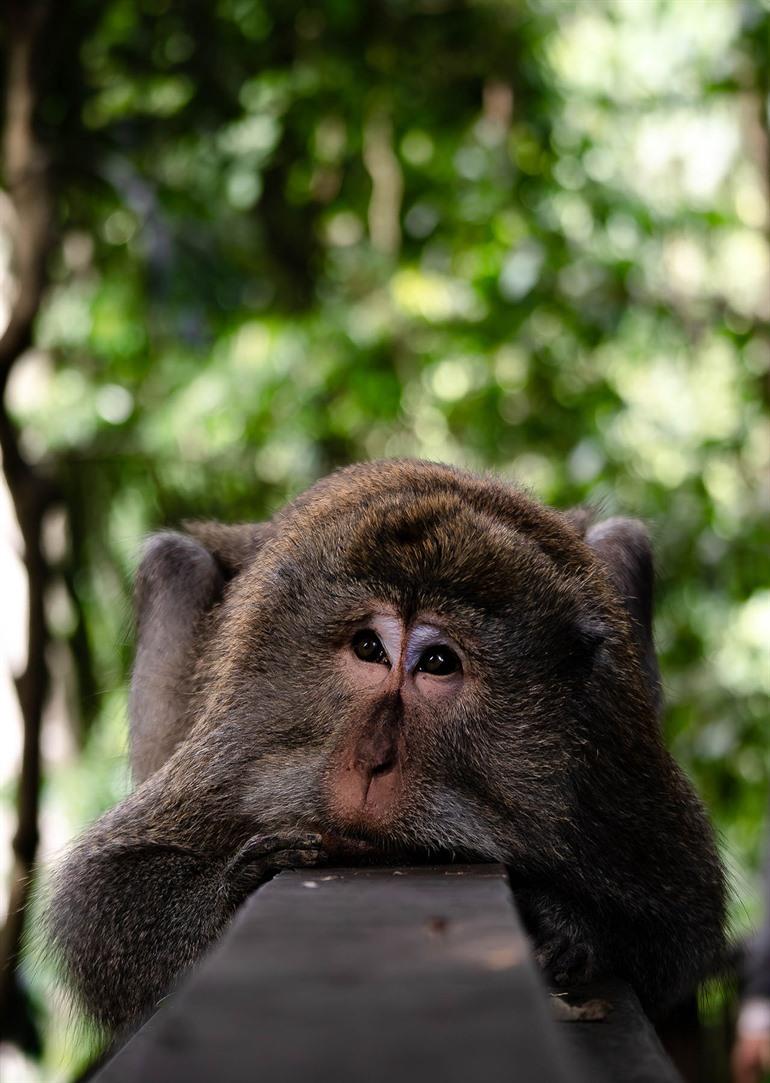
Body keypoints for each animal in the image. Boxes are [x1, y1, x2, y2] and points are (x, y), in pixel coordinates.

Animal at [47, 459, 727, 1038]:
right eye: (369, 648)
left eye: (438, 662)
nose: (372, 758)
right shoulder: (245, 735)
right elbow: (103, 896)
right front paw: (240, 887)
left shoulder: (607, 744)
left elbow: (681, 921)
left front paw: (563, 923)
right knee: (175, 561)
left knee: (624, 541)